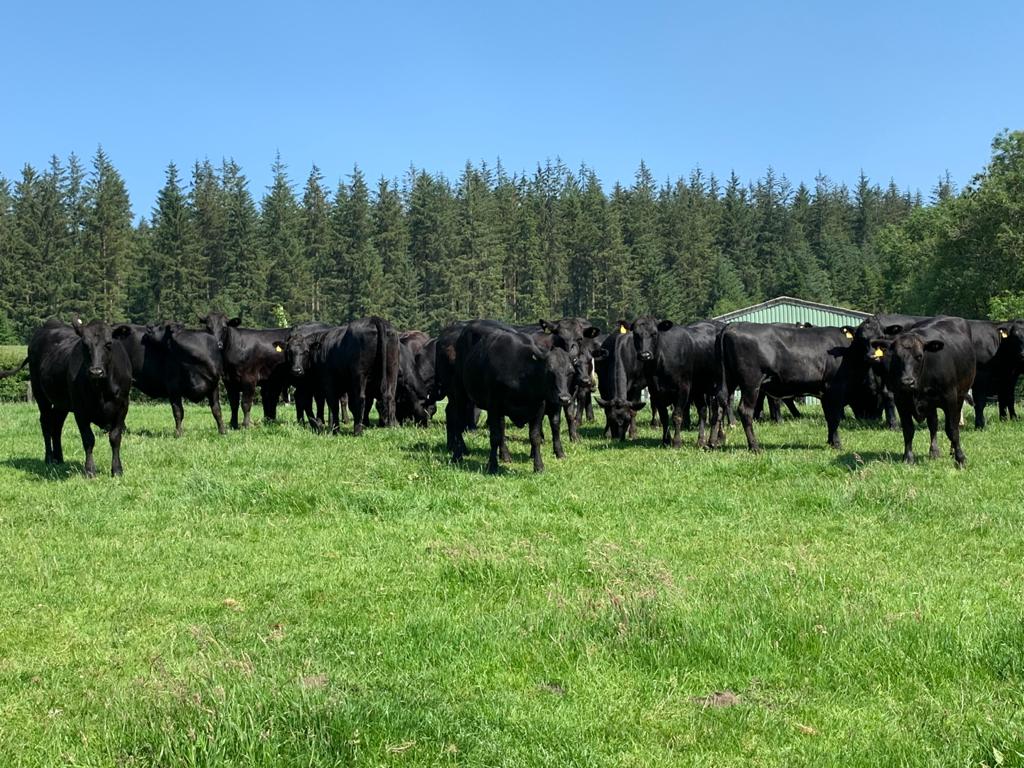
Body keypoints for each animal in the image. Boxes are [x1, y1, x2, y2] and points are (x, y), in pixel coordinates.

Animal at [6, 318, 134, 477]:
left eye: (109, 344)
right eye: (84, 344)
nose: (96, 372)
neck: (101, 390)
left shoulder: (122, 407)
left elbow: (115, 437)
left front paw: (117, 470)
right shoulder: (80, 410)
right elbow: (88, 439)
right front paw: (89, 470)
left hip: (61, 404)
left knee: (57, 425)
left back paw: (59, 458)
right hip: (40, 395)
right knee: (46, 423)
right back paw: (49, 458)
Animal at [447, 321, 575, 473]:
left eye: (570, 372)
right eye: (549, 371)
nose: (565, 398)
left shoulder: (538, 407)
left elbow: (535, 437)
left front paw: (538, 466)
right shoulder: (494, 406)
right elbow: (495, 437)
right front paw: (492, 465)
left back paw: (505, 455)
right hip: (460, 394)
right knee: (458, 423)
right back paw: (457, 455)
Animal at [709, 322, 857, 452]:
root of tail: (732, 325)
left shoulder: (825, 393)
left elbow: (829, 416)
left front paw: (831, 441)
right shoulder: (835, 387)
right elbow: (834, 417)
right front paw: (837, 444)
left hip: (727, 380)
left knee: (718, 406)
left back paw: (712, 443)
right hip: (751, 382)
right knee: (745, 411)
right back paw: (755, 447)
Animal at [868, 316, 975, 467]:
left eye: (919, 356)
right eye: (896, 357)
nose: (907, 382)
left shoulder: (950, 398)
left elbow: (952, 429)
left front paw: (960, 458)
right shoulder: (901, 400)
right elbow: (908, 430)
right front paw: (908, 458)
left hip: (960, 395)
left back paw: (952, 450)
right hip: (930, 405)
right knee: (933, 424)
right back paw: (934, 451)